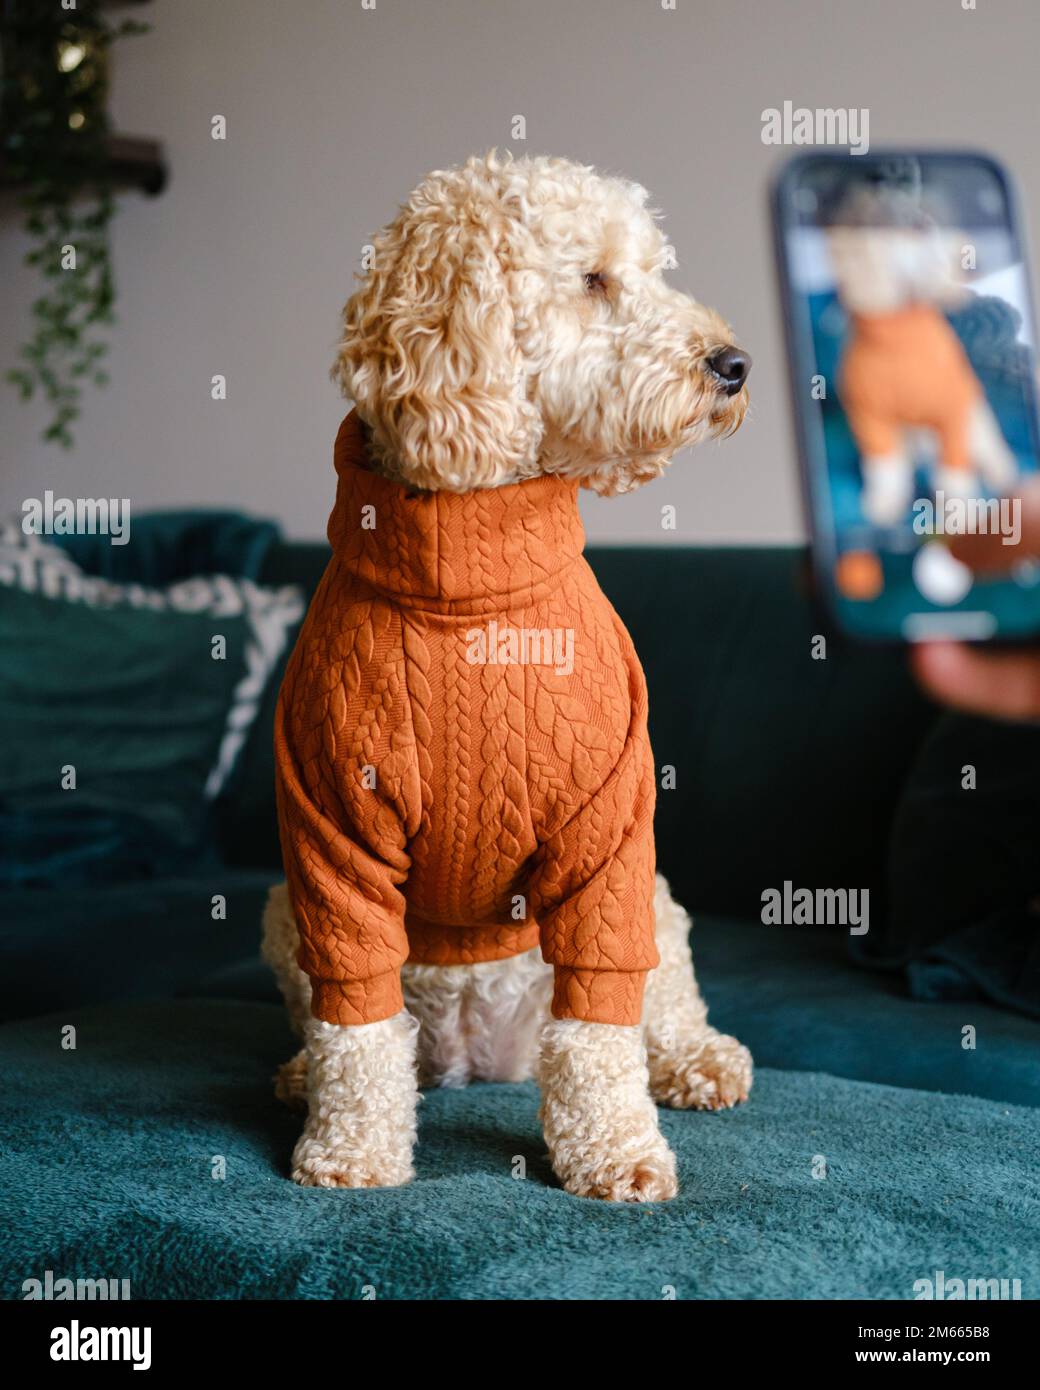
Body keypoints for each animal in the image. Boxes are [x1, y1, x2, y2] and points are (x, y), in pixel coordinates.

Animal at [264, 149, 750, 1206]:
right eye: (595, 279)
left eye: (653, 270)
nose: (734, 365)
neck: (470, 587)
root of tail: (485, 1060)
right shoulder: (328, 827)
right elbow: (356, 1030)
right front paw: (350, 1147)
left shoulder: (611, 824)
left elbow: (600, 1037)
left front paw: (615, 1149)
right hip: (285, 912)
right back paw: (299, 1074)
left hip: (655, 902)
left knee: (656, 1007)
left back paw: (698, 1061)